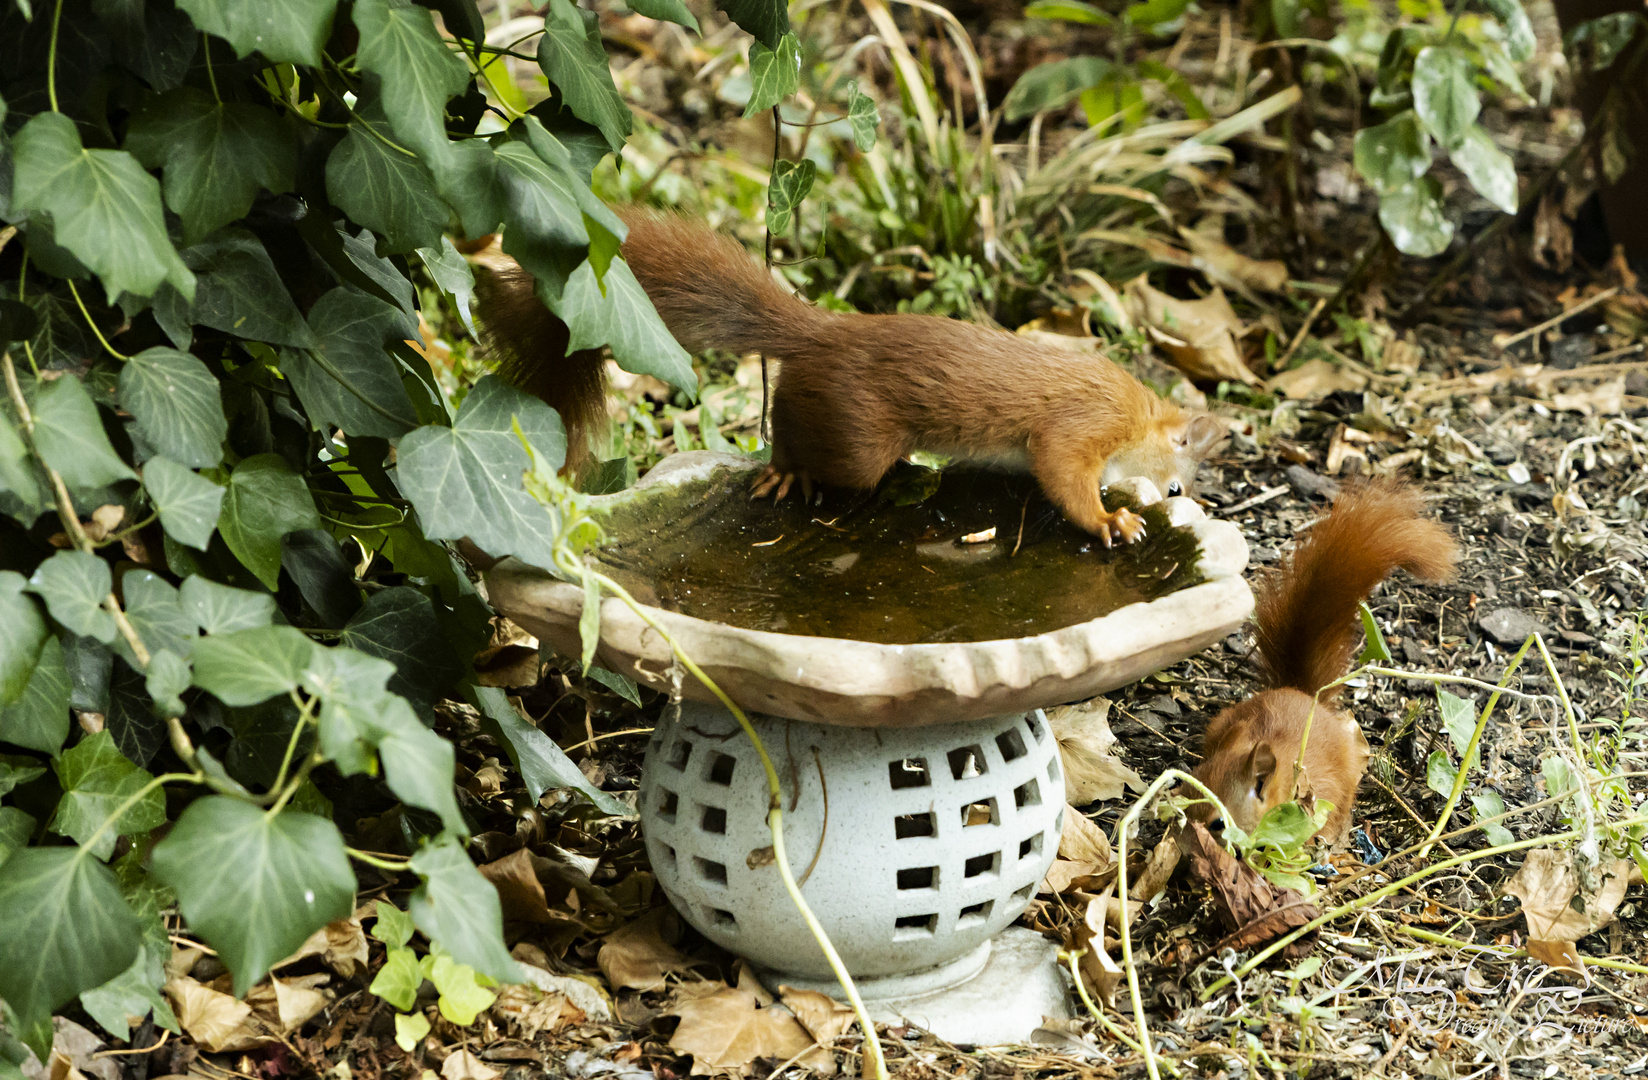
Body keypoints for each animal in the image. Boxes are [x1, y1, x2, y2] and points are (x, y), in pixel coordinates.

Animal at [471, 211, 1232, 550]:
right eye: (1175, 489)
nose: (1185, 503)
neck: (1137, 413)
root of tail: (827, 333)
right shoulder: (1084, 425)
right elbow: (1064, 472)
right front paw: (1111, 520)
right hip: (857, 435)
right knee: (795, 432)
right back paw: (786, 472)